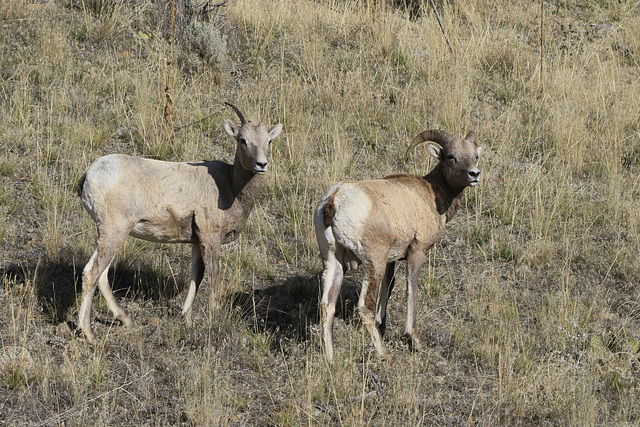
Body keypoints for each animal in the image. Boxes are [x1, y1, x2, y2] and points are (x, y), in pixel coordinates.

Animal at [74, 102, 282, 342]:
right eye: (243, 140)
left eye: (269, 141)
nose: (261, 164)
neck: (230, 186)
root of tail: (90, 174)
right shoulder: (211, 239)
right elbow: (214, 277)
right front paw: (213, 319)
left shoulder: (196, 242)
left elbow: (197, 275)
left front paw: (187, 318)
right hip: (113, 232)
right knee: (92, 273)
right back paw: (89, 334)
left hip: (112, 234)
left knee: (101, 274)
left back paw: (125, 319)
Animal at [312, 129, 482, 362]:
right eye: (451, 157)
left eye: (475, 156)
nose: (474, 175)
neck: (430, 195)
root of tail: (335, 200)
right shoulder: (417, 252)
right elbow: (412, 290)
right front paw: (414, 340)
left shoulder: (391, 260)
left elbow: (389, 286)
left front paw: (383, 324)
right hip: (374, 262)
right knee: (365, 307)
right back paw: (384, 353)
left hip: (333, 261)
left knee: (327, 305)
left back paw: (331, 358)